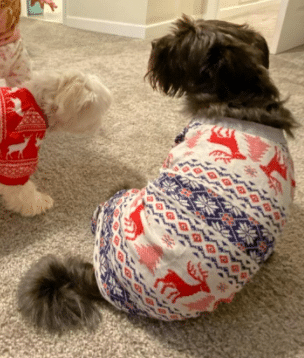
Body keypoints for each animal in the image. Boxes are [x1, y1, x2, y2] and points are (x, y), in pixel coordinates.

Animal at [0, 69, 112, 215]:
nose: (100, 126)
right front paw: (39, 203)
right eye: (97, 111)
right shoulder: (15, 161)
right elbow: (22, 190)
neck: (39, 104)